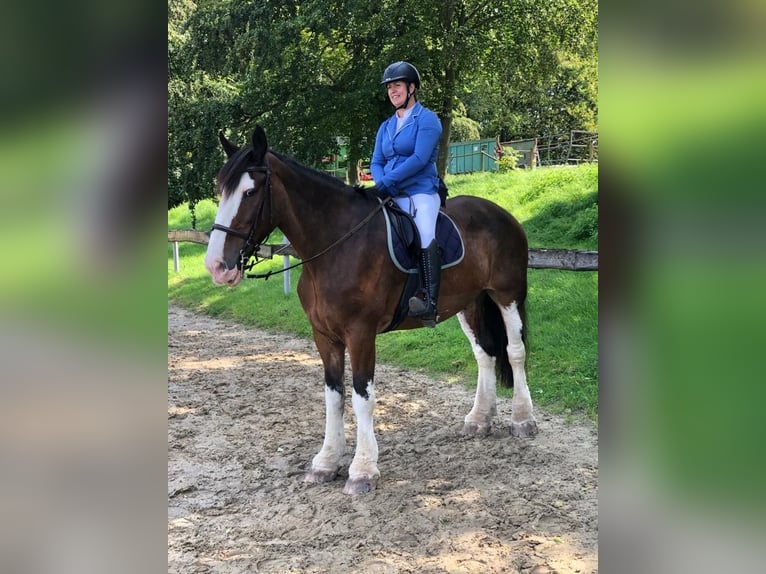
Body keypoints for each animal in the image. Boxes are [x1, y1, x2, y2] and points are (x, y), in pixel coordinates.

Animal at [204, 126, 540, 496]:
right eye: (220, 190)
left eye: (250, 192)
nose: (217, 267)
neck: (335, 246)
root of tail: (501, 213)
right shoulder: (324, 336)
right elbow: (333, 395)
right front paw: (326, 462)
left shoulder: (360, 333)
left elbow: (362, 397)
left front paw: (363, 470)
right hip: (469, 303)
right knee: (485, 355)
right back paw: (479, 419)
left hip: (507, 295)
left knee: (515, 351)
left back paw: (523, 419)